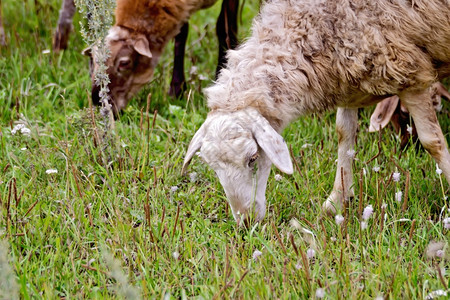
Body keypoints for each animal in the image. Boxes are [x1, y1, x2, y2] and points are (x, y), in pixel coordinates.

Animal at [182, 0, 450, 224]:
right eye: (213, 168)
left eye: (253, 158)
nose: (245, 222)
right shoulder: (348, 77)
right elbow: (344, 136)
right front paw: (336, 201)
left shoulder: (410, 73)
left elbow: (432, 142)